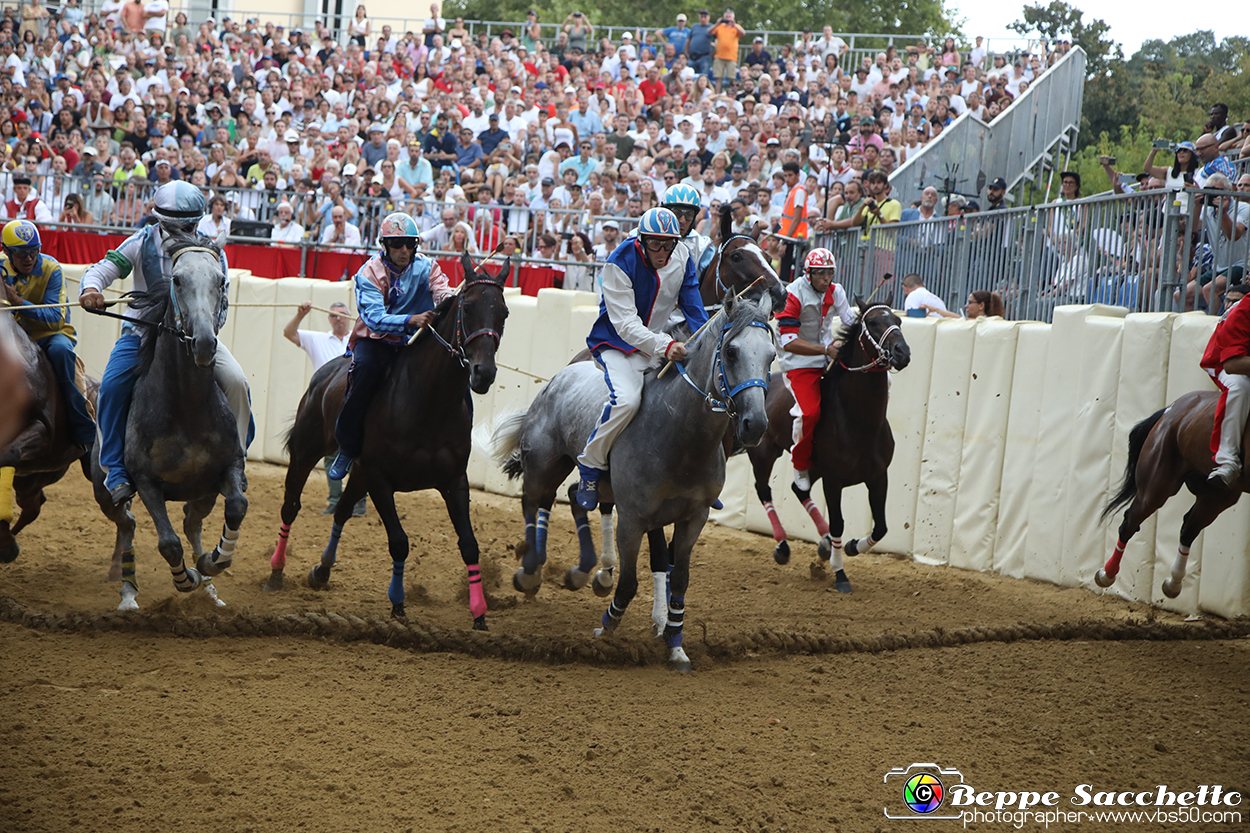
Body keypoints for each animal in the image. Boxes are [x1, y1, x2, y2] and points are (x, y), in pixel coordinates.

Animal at [492, 291, 775, 670]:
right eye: (731, 351)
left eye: (772, 355)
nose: (755, 424)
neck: (681, 437)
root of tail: (558, 377)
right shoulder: (633, 518)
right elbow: (629, 582)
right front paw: (606, 631)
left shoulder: (693, 517)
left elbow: (678, 578)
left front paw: (674, 642)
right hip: (543, 464)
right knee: (535, 501)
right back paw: (531, 571)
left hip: (595, 482)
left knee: (576, 496)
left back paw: (582, 571)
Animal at [740, 301, 910, 592]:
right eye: (873, 323)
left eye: (898, 321)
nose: (903, 352)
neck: (859, 421)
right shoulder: (834, 480)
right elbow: (839, 523)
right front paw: (840, 574)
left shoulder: (878, 476)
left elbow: (881, 528)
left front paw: (851, 547)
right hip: (763, 454)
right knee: (764, 490)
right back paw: (783, 545)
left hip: (811, 465)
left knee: (799, 488)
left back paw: (824, 543)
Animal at [1100, 392, 1245, 592]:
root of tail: (1168, 410)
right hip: (1156, 487)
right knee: (1130, 522)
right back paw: (1107, 574)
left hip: (1217, 495)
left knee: (1189, 528)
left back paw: (1173, 584)